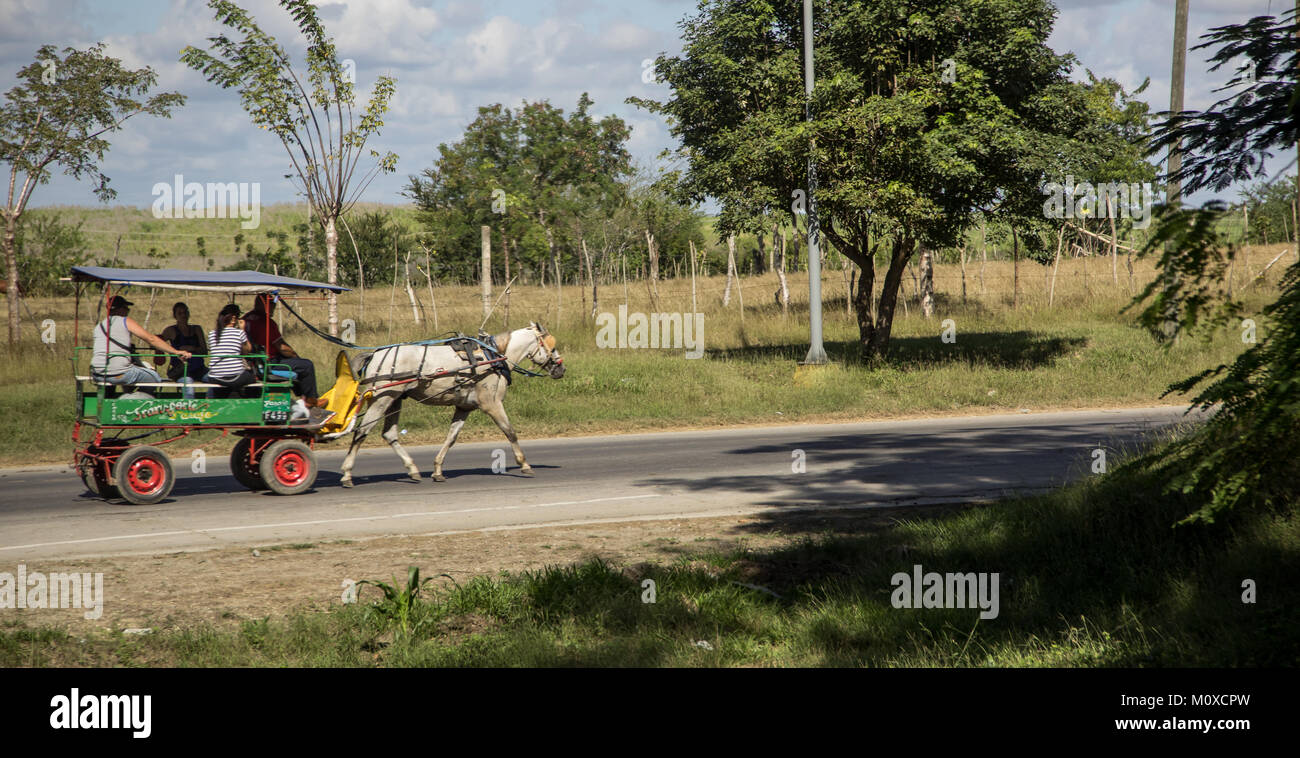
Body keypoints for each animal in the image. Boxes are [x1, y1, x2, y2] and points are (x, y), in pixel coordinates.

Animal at [338, 318, 561, 486]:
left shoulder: (464, 407)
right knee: (361, 432)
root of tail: (374, 355)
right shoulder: (492, 404)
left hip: (395, 400)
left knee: (389, 434)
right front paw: (524, 465)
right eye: (552, 345)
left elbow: (451, 437)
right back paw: (347, 473)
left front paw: (437, 469)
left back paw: (412, 469)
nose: (561, 368)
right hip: (381, 399)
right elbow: (510, 432)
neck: (492, 356)